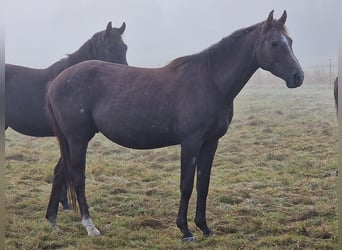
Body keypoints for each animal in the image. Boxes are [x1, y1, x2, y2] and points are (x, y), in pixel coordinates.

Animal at [44, 10, 302, 241]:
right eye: (274, 43)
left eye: (290, 41)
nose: (297, 77)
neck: (209, 81)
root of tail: (56, 82)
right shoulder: (190, 142)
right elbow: (186, 185)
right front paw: (185, 230)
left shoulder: (210, 143)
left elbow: (203, 185)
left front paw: (204, 227)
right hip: (77, 139)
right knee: (78, 178)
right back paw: (90, 226)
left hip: (72, 141)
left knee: (61, 173)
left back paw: (53, 221)